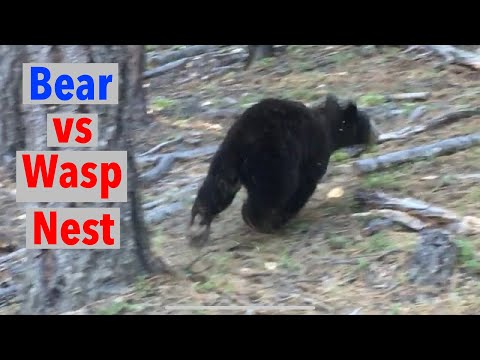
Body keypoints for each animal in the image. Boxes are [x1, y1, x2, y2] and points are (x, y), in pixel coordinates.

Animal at [188, 94, 378, 249]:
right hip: (273, 158)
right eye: (367, 122)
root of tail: (242, 141)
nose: (376, 134)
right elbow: (305, 184)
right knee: (274, 191)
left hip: (226, 159)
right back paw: (262, 221)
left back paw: (200, 220)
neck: (329, 126)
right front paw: (286, 214)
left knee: (218, 187)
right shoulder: (314, 152)